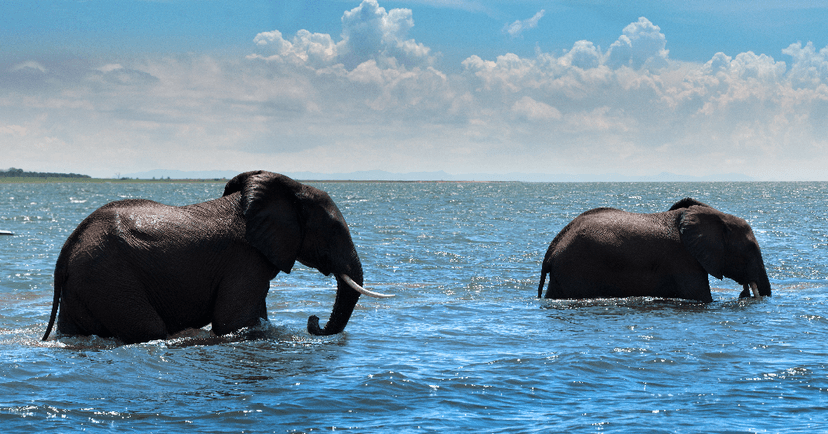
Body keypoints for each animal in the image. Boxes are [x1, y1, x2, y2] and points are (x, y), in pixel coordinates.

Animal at [42, 170, 392, 344]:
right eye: (334, 228)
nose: (313, 321)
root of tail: (67, 249)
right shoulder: (244, 259)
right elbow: (232, 323)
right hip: (109, 279)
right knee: (149, 329)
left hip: (86, 283)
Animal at [537, 197, 772, 302]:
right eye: (750, 248)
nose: (746, 292)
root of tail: (552, 249)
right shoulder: (684, 261)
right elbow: (701, 297)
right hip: (576, 269)